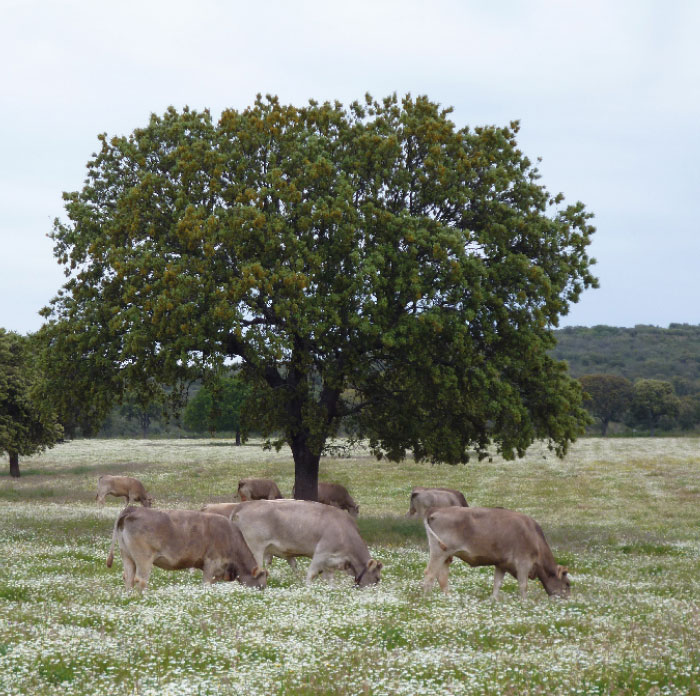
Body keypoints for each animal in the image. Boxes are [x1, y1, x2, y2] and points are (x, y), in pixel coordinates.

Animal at [106, 502, 268, 588]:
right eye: (261, 586)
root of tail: (133, 508)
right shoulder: (211, 562)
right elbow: (206, 584)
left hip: (127, 556)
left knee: (128, 578)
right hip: (143, 558)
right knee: (140, 580)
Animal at [231, 500, 382, 588]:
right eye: (377, 578)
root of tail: (244, 505)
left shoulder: (330, 562)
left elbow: (329, 579)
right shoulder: (321, 552)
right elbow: (312, 574)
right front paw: (307, 590)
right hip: (254, 548)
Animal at [424, 506, 572, 600]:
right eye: (567, 584)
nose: (568, 602)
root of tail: (436, 509)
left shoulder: (502, 564)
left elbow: (497, 583)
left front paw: (493, 600)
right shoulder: (523, 563)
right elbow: (523, 585)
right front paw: (524, 603)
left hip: (446, 556)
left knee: (442, 577)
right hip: (439, 552)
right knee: (430, 574)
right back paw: (427, 600)